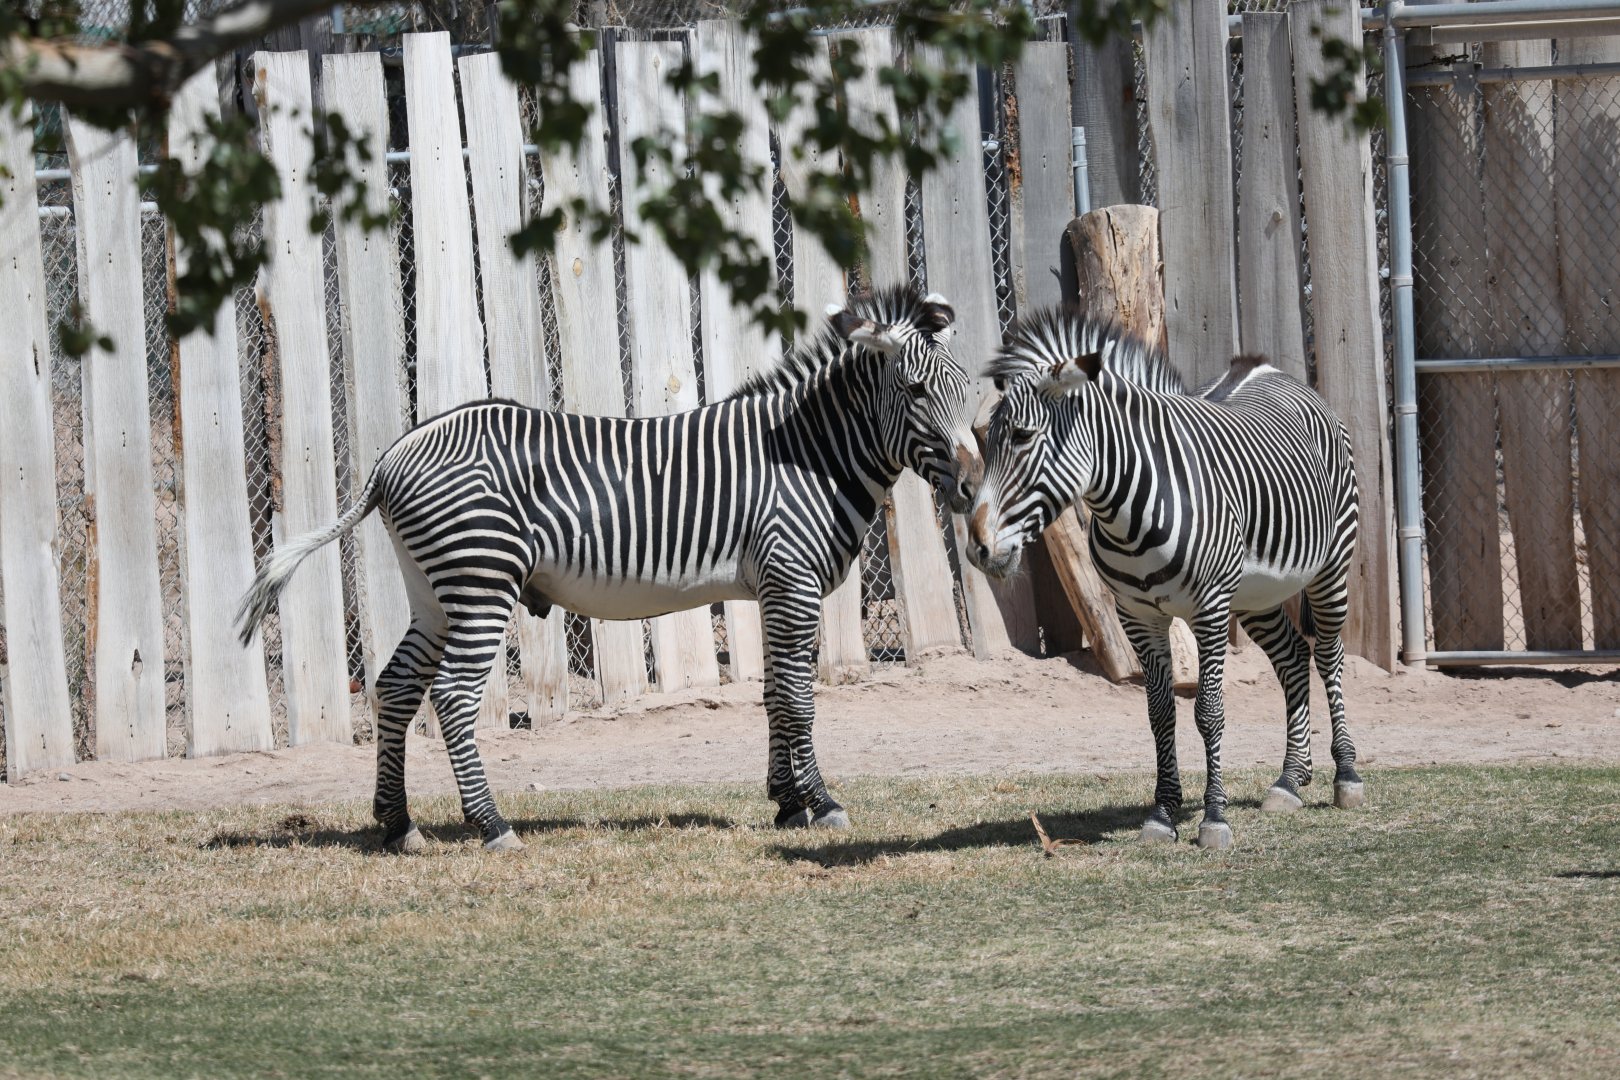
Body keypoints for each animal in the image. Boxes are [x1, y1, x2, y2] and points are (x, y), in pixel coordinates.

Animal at [237, 287, 978, 851]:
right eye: (915, 390)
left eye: (966, 388)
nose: (973, 487)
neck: (809, 453)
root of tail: (393, 456)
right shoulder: (792, 578)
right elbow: (798, 697)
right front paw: (820, 804)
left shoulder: (773, 587)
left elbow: (772, 694)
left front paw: (785, 802)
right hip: (481, 582)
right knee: (450, 694)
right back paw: (491, 824)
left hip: (434, 592)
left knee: (394, 687)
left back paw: (397, 825)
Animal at [965, 307, 1364, 850]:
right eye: (989, 440)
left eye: (1024, 437)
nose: (979, 549)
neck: (1127, 507)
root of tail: (1271, 370)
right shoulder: (1137, 615)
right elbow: (1159, 714)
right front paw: (1162, 813)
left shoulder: (1210, 608)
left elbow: (1209, 712)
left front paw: (1213, 818)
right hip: (1256, 595)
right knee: (1292, 658)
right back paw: (1289, 779)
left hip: (1331, 567)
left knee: (1328, 658)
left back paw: (1345, 775)